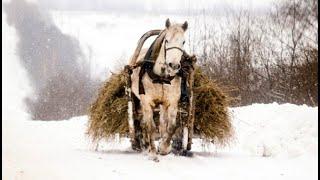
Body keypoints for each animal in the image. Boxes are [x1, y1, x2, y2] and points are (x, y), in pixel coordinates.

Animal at [127, 18, 188, 162]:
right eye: (166, 40)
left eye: (183, 41)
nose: (174, 65)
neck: (161, 77)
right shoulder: (147, 102)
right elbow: (150, 127)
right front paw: (153, 153)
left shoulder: (172, 102)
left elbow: (170, 126)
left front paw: (165, 147)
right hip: (140, 102)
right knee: (143, 124)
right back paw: (146, 147)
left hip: (162, 105)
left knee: (162, 123)